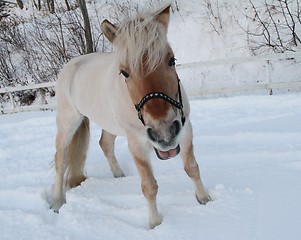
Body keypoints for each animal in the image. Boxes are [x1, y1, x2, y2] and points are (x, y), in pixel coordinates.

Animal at [51, 3, 211, 229]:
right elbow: (149, 186)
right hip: (67, 122)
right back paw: (57, 202)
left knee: (105, 144)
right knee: (61, 160)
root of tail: (71, 65)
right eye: (124, 72)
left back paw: (119, 175)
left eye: (172, 60)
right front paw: (155, 223)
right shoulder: (136, 143)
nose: (164, 132)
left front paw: (204, 200)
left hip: (109, 124)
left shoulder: (185, 129)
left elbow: (192, 168)